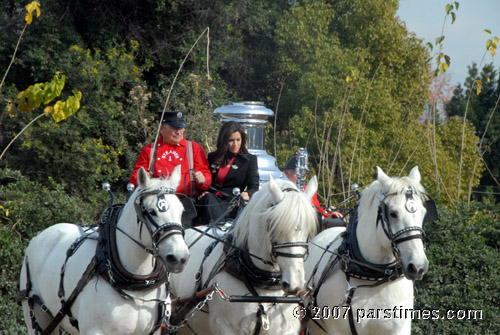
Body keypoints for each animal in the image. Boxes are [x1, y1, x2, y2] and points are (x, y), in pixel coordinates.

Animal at [19, 167, 189, 335]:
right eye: (152, 211)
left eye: (181, 211)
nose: (179, 257)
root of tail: (37, 237)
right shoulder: (95, 331)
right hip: (36, 313)